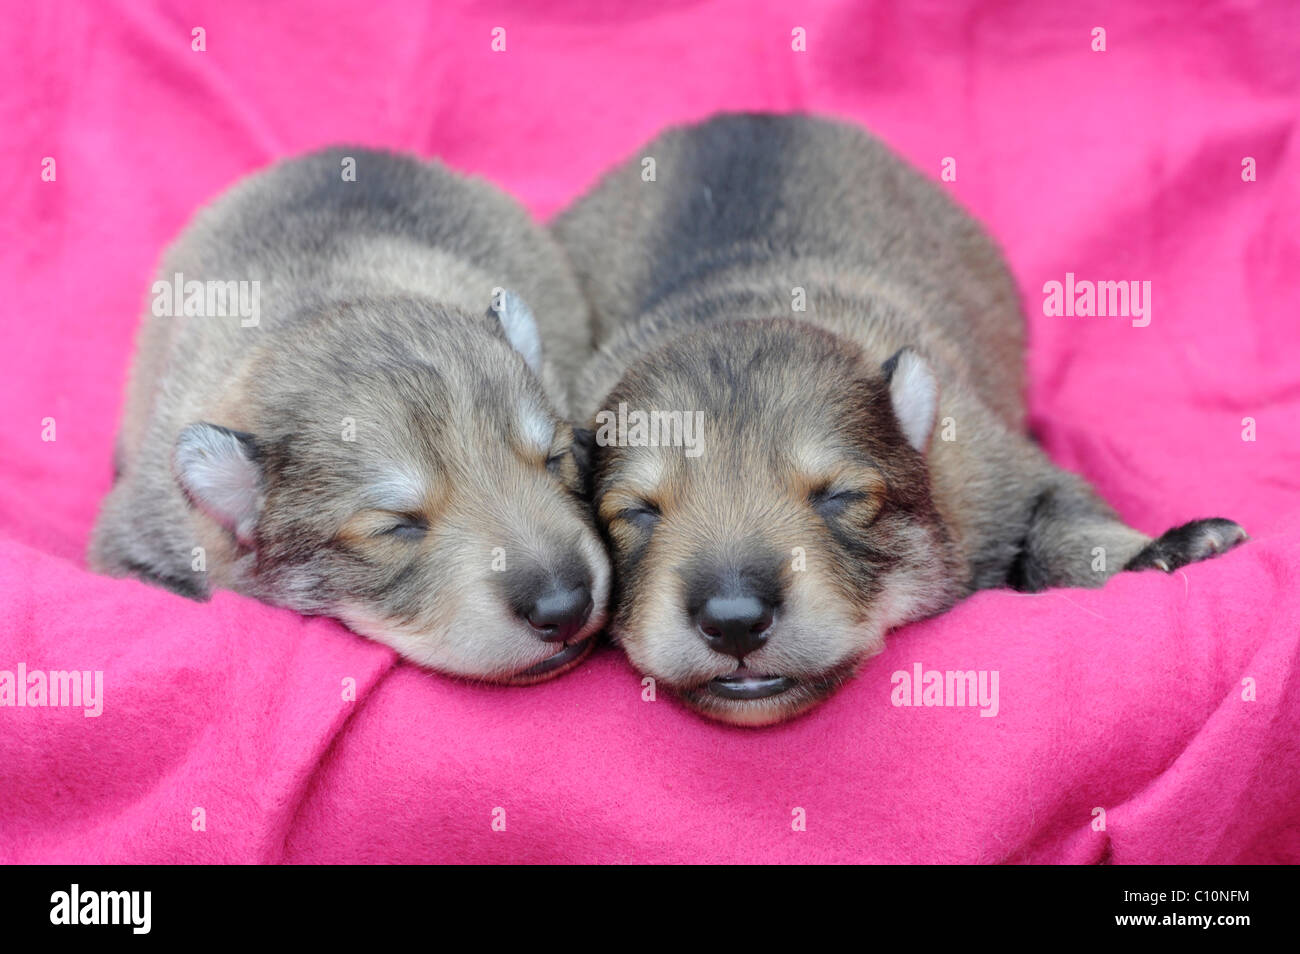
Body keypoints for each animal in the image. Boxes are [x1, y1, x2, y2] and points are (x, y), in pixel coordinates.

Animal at [553, 111, 1242, 722]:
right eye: (637, 513)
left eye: (840, 497)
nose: (734, 622)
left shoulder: (997, 472)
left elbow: (1064, 524)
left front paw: (1161, 551)